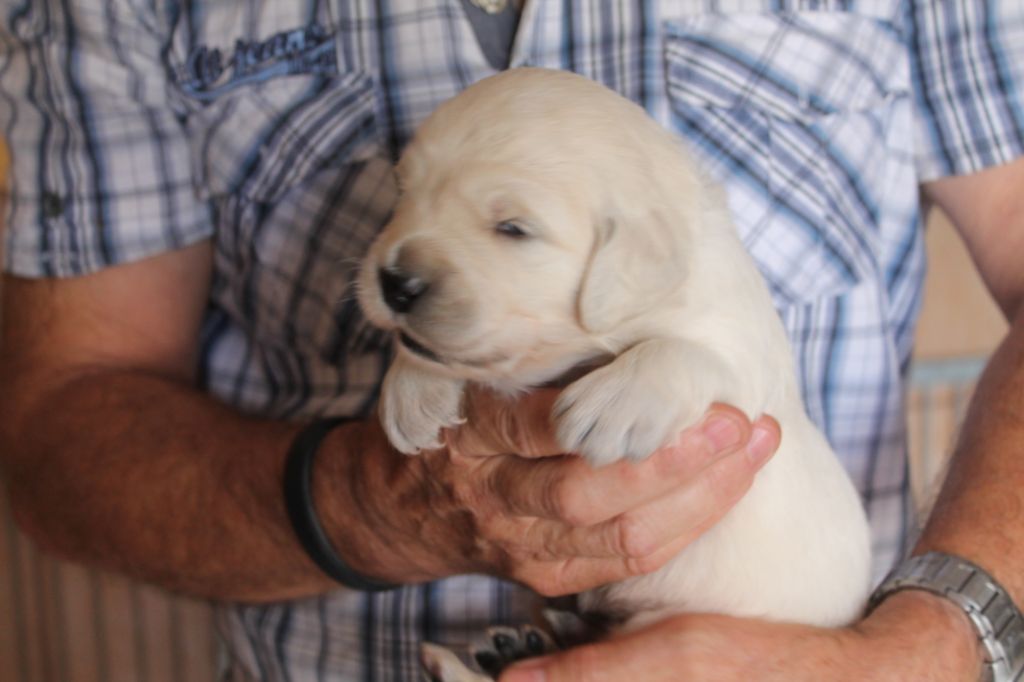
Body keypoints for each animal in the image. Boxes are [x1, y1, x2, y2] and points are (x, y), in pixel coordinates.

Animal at [356, 67, 868, 675]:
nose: (396, 283)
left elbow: (691, 353)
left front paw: (615, 406)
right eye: (403, 192)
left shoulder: (744, 354)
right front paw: (411, 391)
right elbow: (430, 351)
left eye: (512, 228)